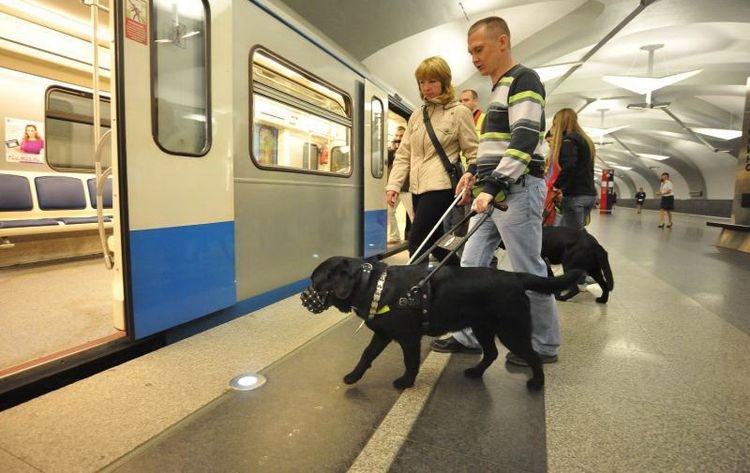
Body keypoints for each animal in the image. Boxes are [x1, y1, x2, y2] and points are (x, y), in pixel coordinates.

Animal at [302, 256, 584, 390]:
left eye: (315, 281)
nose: (303, 296)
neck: (373, 285)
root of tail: (515, 277)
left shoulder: (409, 339)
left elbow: (410, 362)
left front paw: (406, 382)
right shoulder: (382, 334)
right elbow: (366, 355)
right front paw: (354, 376)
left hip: (511, 330)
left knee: (533, 356)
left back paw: (537, 383)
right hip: (482, 327)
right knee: (491, 353)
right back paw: (476, 372)